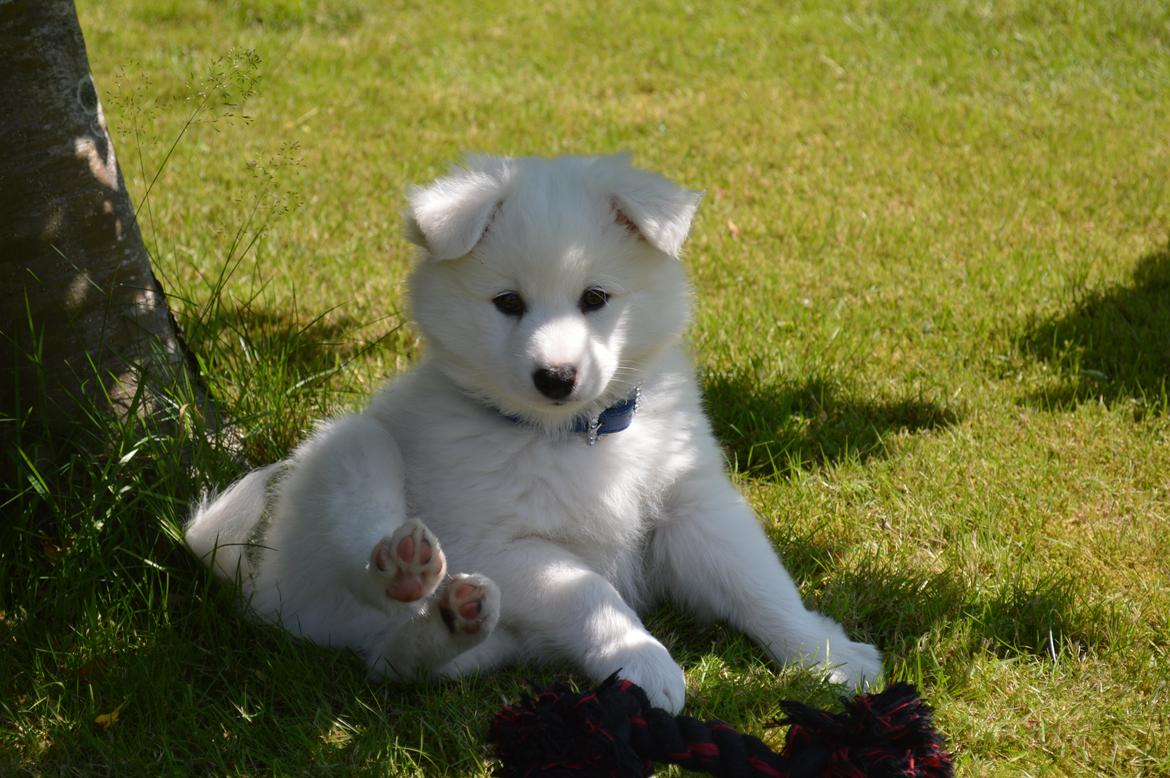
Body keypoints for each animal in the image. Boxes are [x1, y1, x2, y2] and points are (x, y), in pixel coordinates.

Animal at [184, 152, 879, 711]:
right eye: (509, 304)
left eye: (595, 298)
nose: (556, 376)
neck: (575, 434)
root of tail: (256, 581)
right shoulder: (502, 543)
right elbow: (593, 594)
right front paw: (645, 661)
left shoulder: (691, 505)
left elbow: (760, 583)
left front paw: (827, 655)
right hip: (350, 451)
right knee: (367, 561)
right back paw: (405, 568)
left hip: (479, 645)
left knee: (393, 662)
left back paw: (453, 619)